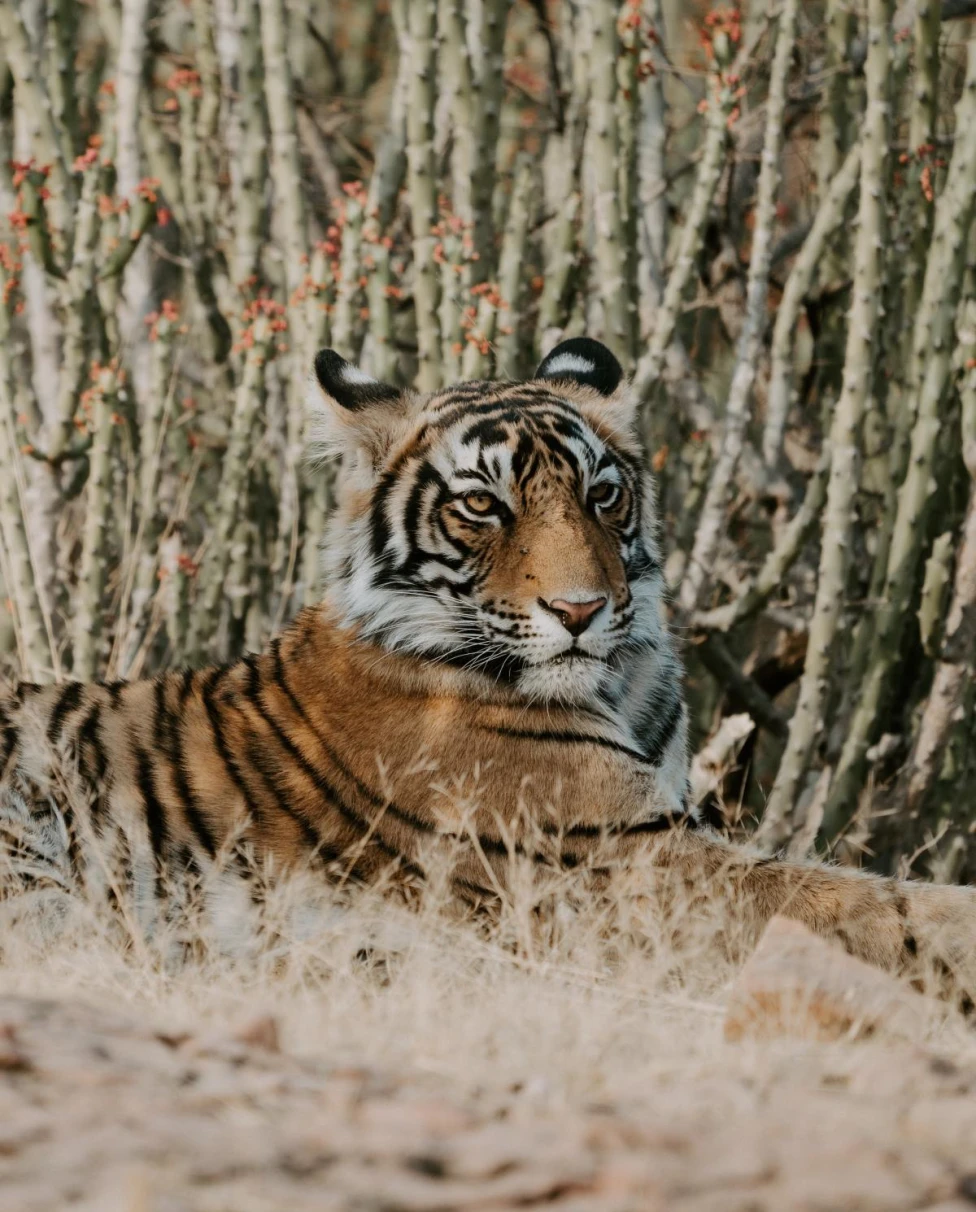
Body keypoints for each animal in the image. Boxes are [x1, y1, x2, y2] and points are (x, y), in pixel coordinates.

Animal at [1, 336, 975, 985]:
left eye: (602, 495)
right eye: (482, 505)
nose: (580, 611)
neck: (621, 683)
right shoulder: (633, 865)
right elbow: (872, 905)